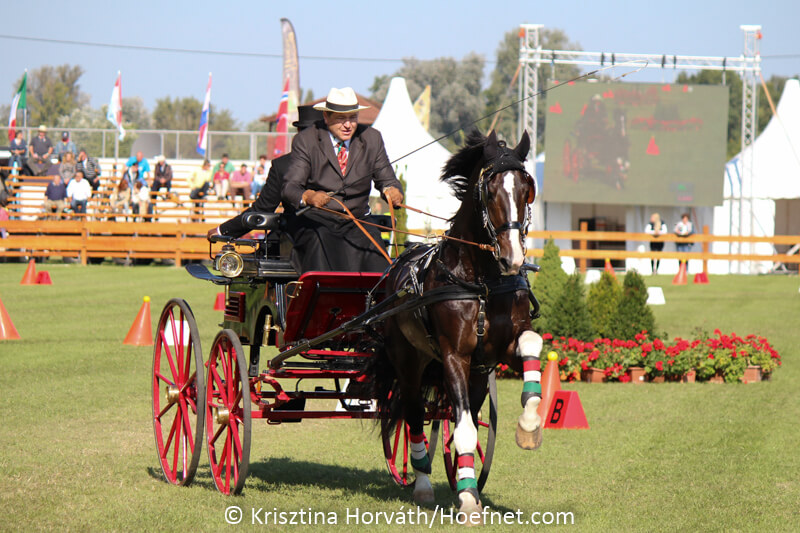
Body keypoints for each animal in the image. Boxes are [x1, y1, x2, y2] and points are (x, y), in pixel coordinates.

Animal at [374, 130, 544, 519]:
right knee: (414, 416)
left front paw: (529, 426)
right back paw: (423, 483)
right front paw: (467, 501)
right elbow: (463, 429)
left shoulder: (499, 350)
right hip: (409, 362)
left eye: (526, 189)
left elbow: (532, 347)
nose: (513, 259)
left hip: (477, 374)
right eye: (489, 191)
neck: (481, 282)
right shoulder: (453, 356)